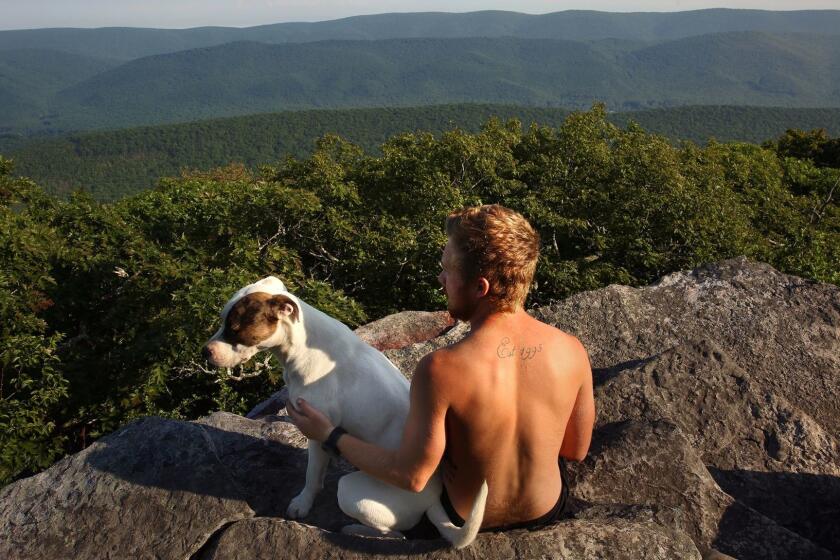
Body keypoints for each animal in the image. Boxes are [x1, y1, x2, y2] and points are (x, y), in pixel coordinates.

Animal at [200, 276, 486, 548]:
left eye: (235, 328)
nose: (204, 351)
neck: (302, 345)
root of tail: (434, 500)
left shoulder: (315, 430)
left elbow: (312, 475)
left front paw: (302, 503)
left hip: (351, 491)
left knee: (396, 535)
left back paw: (355, 530)